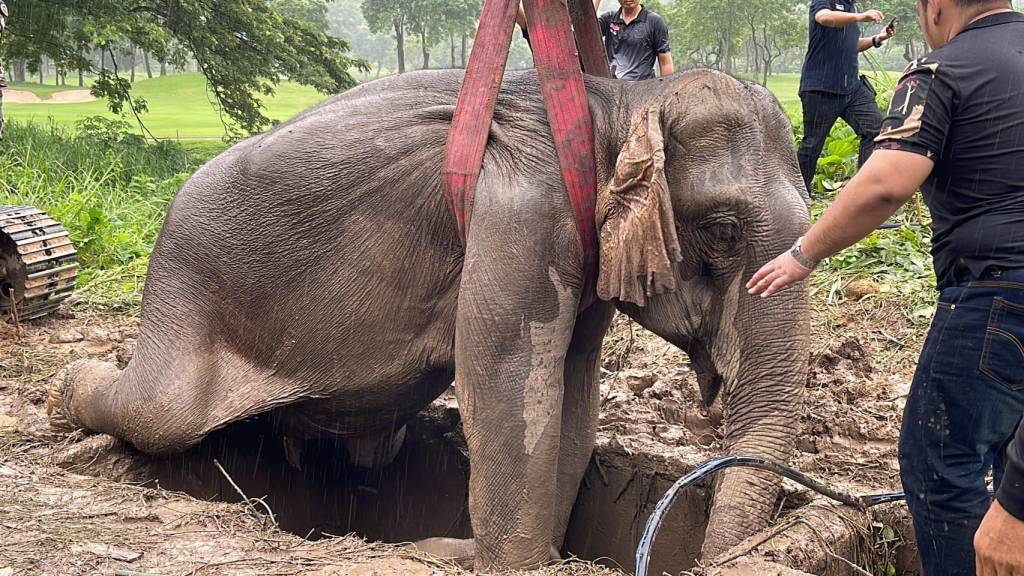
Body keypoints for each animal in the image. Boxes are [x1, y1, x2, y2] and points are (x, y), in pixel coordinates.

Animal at [48, 67, 811, 569]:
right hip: (186, 294)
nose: (720, 557)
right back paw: (66, 389)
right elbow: (508, 381)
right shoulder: (523, 216)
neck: (619, 102)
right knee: (161, 411)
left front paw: (531, 553)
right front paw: (499, 560)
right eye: (722, 230)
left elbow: (573, 387)